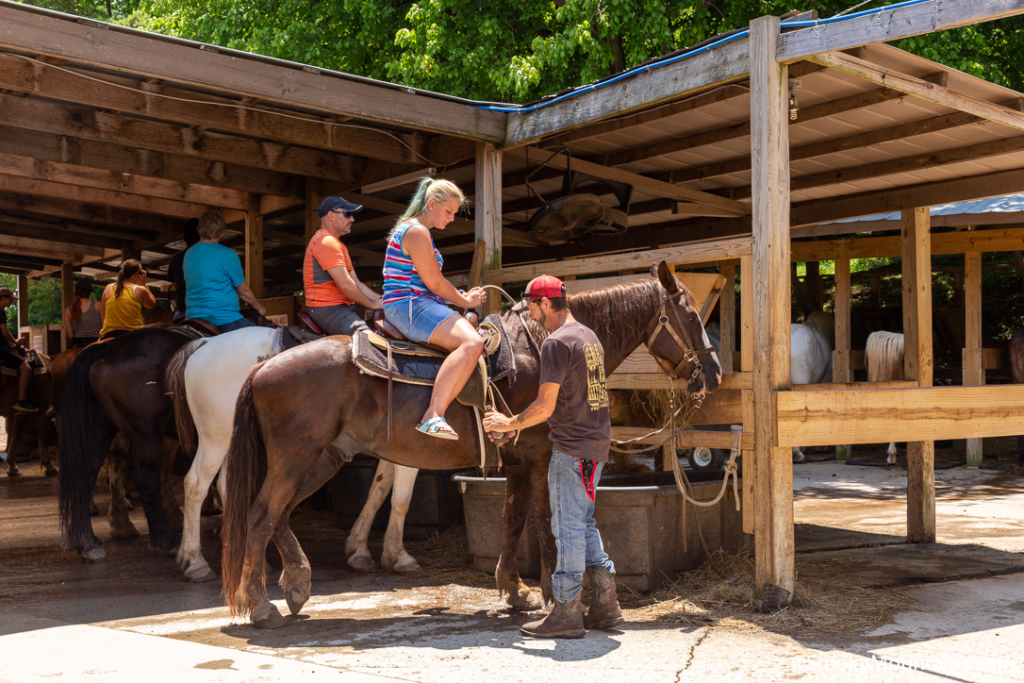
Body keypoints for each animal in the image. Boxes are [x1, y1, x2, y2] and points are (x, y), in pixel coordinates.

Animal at [58, 325, 201, 561]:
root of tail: (107, 348)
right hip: (146, 433)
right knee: (146, 481)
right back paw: (166, 539)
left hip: (101, 429)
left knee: (86, 475)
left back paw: (89, 542)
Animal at [224, 264, 724, 630]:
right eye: (693, 317)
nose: (715, 373)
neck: (537, 350)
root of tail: (264, 367)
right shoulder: (540, 458)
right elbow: (544, 523)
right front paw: (549, 598)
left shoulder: (519, 461)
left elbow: (512, 518)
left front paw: (515, 591)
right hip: (295, 458)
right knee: (261, 515)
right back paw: (261, 605)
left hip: (322, 459)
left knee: (279, 515)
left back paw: (296, 584)